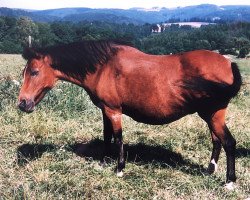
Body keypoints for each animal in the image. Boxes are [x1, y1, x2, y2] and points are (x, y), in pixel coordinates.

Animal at [18, 40, 242, 186]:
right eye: (25, 72)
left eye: (34, 72)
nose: (22, 103)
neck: (103, 67)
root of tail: (227, 63)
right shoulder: (105, 110)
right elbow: (107, 136)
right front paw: (103, 162)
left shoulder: (114, 111)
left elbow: (118, 138)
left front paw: (119, 168)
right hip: (211, 115)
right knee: (216, 141)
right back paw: (210, 170)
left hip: (213, 114)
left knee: (229, 142)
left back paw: (229, 181)